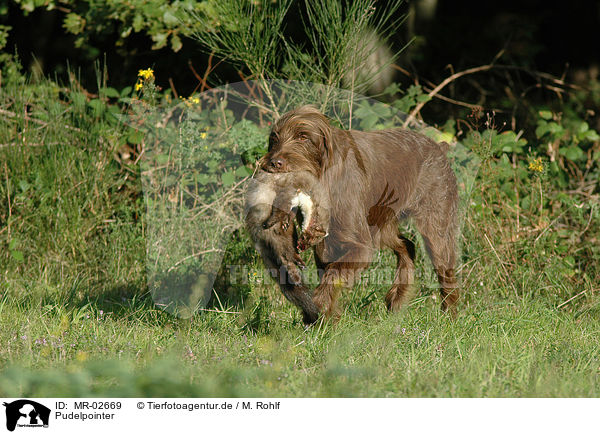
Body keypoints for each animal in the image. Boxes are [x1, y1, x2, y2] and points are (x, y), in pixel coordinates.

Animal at [264, 105, 460, 318]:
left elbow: (334, 272)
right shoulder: (326, 245)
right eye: (274, 138)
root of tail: (439, 148)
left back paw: (449, 314)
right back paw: (396, 299)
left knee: (445, 270)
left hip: (434, 227)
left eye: (303, 137)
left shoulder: (360, 247)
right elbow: (328, 273)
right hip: (383, 222)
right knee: (407, 246)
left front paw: (317, 310)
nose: (274, 163)